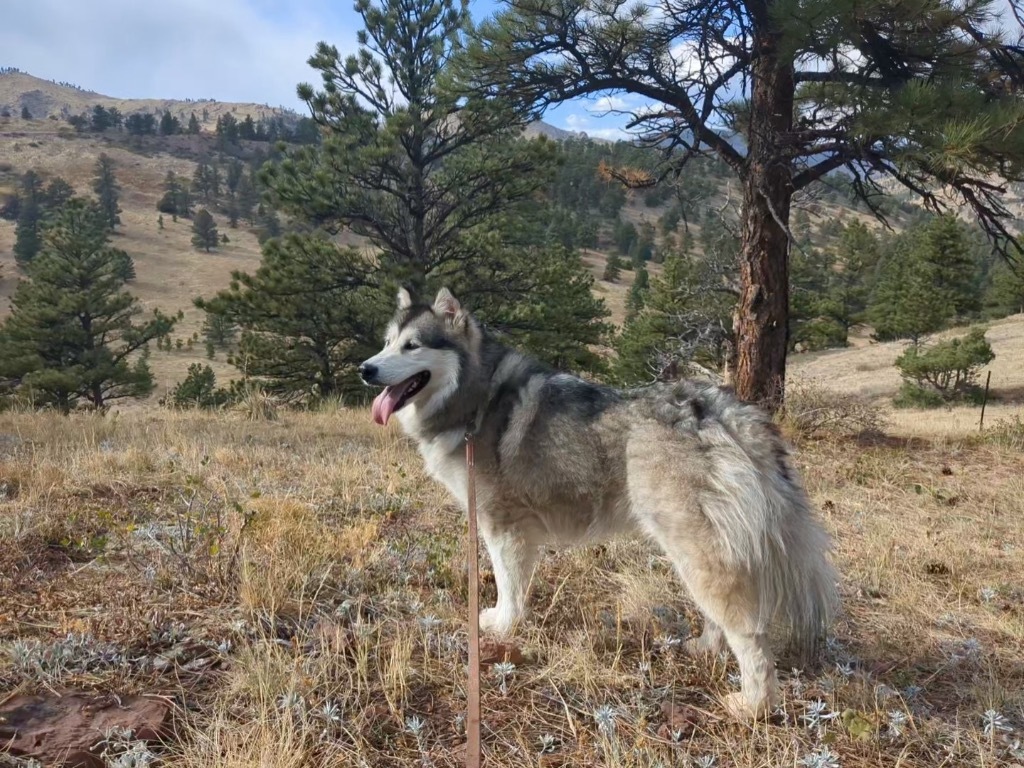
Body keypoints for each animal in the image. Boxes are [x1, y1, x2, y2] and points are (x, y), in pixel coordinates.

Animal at [360, 286, 839, 720]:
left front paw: (502, 624)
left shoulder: (503, 525)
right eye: (386, 342)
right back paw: (705, 648)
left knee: (749, 633)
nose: (365, 368)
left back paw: (754, 705)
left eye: (412, 345)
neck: (477, 398)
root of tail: (723, 409)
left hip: (694, 546)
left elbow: (508, 586)